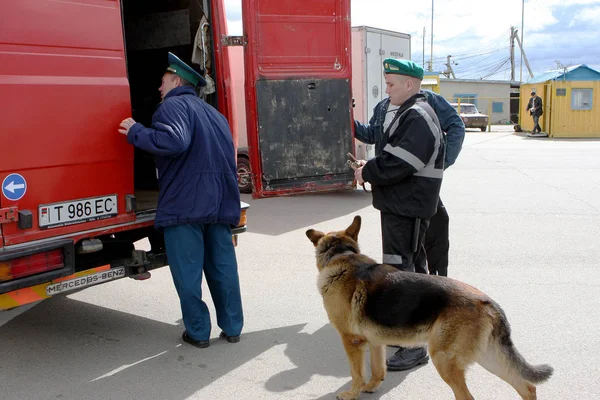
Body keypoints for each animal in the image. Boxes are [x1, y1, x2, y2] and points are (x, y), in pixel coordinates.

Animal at [304, 217, 552, 398]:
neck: (340, 256)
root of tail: (489, 303)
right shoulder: (375, 342)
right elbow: (377, 370)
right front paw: (371, 387)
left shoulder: (352, 341)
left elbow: (356, 374)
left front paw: (351, 394)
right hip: (488, 357)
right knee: (527, 387)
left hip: (444, 360)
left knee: (468, 396)